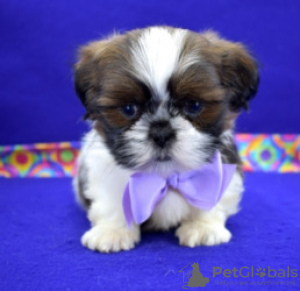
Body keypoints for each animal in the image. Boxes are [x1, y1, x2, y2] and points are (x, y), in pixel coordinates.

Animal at [72, 25, 258, 253]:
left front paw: (202, 226)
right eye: (129, 109)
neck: (165, 175)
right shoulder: (103, 170)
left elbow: (212, 197)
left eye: (194, 105)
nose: (161, 132)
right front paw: (113, 231)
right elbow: (112, 199)